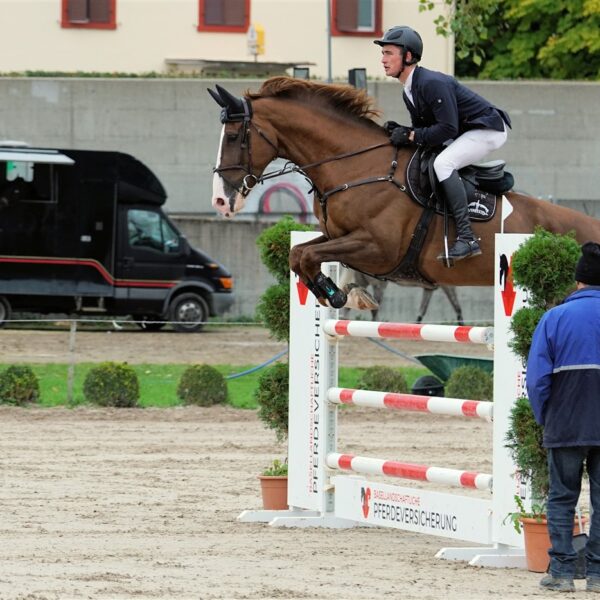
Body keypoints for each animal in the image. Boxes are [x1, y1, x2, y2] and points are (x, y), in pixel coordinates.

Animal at [209, 77, 600, 309]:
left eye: (234, 137)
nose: (220, 201)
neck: (357, 167)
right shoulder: (339, 236)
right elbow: (299, 254)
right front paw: (334, 292)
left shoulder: (377, 248)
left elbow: (308, 256)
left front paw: (337, 294)